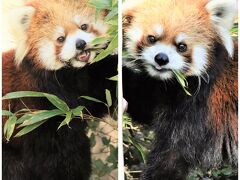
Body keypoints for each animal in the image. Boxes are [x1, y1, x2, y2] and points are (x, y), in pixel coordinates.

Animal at [124, 0, 238, 179]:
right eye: (152, 38)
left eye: (182, 46)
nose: (161, 58)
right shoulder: (165, 94)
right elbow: (143, 103)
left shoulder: (201, 108)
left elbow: (172, 157)